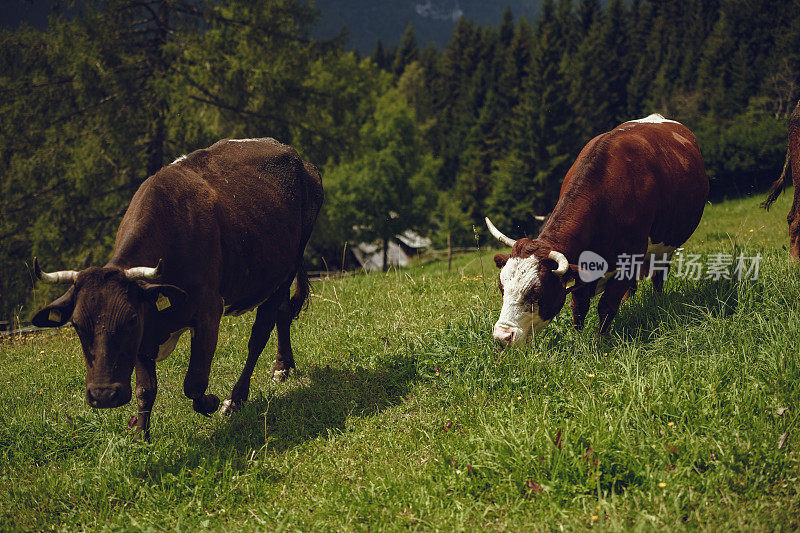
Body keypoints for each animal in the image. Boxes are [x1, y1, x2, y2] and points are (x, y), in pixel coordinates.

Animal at [30, 138, 324, 440]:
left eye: (130, 319)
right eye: (76, 325)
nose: (103, 395)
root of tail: (295, 156)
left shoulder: (207, 311)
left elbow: (194, 382)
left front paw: (212, 402)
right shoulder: (145, 330)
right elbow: (145, 390)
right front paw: (141, 435)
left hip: (284, 271)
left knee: (260, 333)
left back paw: (237, 398)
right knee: (283, 314)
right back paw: (283, 367)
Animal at [484, 113, 708, 344]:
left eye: (536, 292)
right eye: (501, 288)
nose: (502, 336)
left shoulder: (629, 260)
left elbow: (607, 306)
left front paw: (601, 341)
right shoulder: (579, 267)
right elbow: (578, 306)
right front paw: (578, 339)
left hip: (665, 248)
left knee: (658, 277)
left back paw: (658, 302)